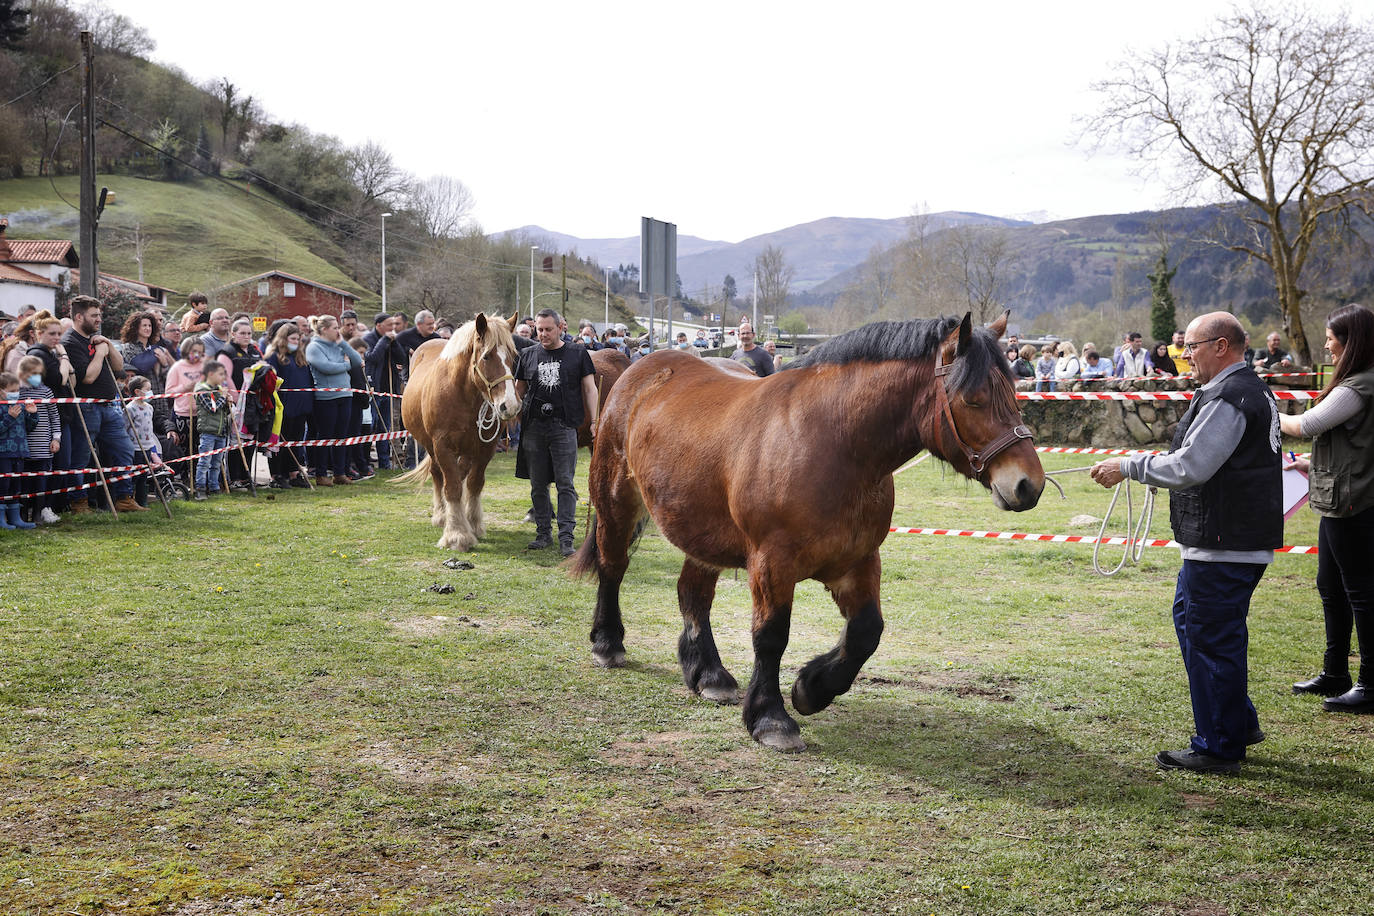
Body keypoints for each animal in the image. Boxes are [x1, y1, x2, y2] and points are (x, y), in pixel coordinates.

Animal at [403, 311, 522, 549]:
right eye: (486, 357)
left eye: (513, 356)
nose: (510, 405)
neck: (463, 395)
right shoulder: (442, 447)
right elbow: (452, 487)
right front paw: (456, 534)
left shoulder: (485, 448)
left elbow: (474, 484)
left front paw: (473, 525)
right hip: (430, 446)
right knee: (438, 475)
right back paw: (441, 515)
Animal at [568, 313, 1038, 752]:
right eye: (973, 400)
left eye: (1015, 395)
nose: (1027, 484)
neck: (832, 443)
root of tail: (640, 368)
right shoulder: (771, 563)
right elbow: (771, 636)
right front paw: (770, 718)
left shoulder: (858, 560)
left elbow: (867, 631)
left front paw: (812, 687)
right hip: (616, 504)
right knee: (613, 567)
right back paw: (608, 644)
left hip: (701, 530)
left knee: (693, 593)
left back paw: (710, 674)